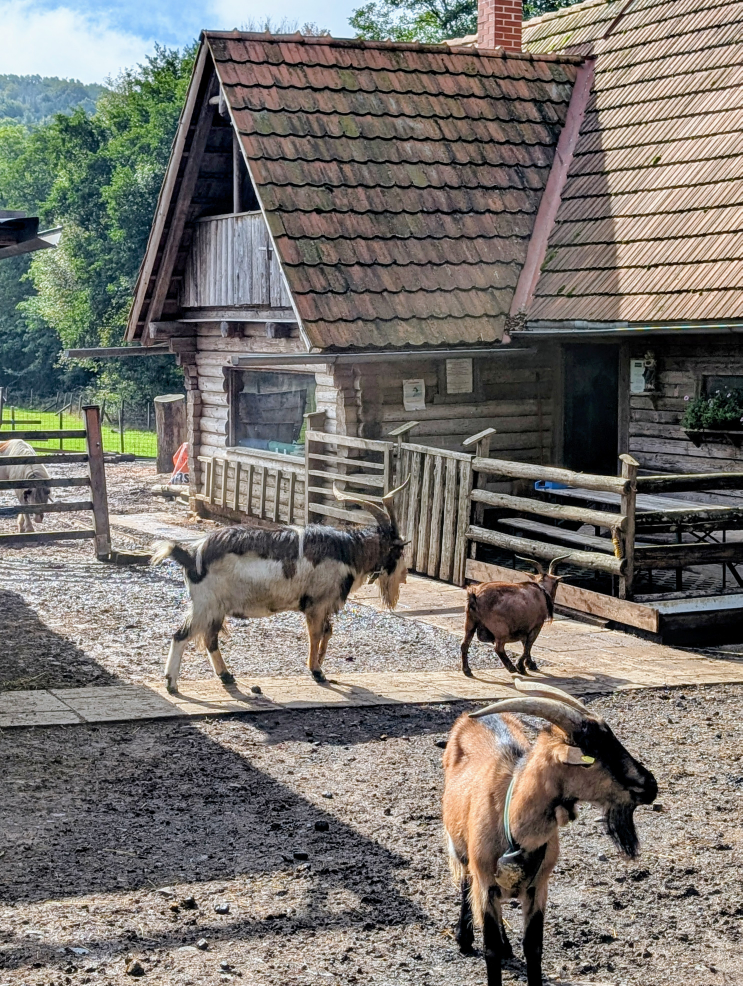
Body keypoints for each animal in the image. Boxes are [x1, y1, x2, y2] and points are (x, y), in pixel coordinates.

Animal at [150, 478, 409, 693]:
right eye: (398, 550)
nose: (405, 576)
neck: (348, 552)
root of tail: (191, 555)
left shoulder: (324, 605)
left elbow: (328, 631)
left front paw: (320, 664)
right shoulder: (316, 604)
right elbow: (316, 634)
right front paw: (316, 671)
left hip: (215, 609)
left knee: (209, 639)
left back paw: (226, 676)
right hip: (206, 605)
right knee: (181, 635)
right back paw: (172, 683)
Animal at [442, 678, 658, 986]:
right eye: (593, 752)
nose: (650, 785)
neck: (511, 821)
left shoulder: (538, 887)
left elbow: (533, 947)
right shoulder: (486, 884)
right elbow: (490, 948)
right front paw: (483, 945)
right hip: (458, 845)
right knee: (464, 882)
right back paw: (464, 938)